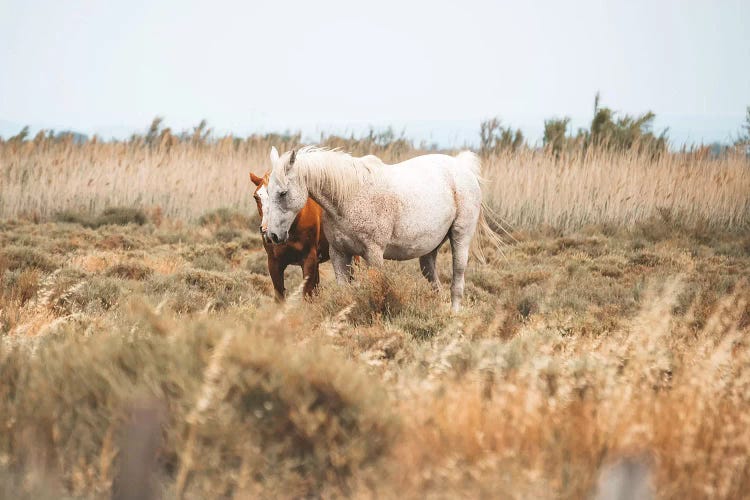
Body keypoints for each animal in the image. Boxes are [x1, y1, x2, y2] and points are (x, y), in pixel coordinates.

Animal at [266, 146, 500, 308]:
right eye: (267, 192)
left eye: (283, 193)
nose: (273, 235)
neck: (349, 197)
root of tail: (462, 167)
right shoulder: (339, 254)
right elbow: (344, 292)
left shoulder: (374, 255)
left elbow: (377, 291)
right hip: (429, 252)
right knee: (435, 282)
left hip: (460, 239)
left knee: (457, 283)